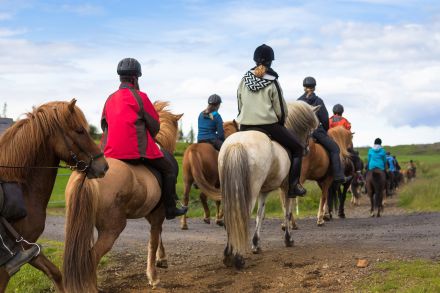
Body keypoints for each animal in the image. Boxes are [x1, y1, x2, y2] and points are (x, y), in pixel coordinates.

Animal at [0, 99, 108, 290]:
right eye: (79, 130)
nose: (104, 166)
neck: (20, 186)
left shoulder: (28, 247)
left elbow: (55, 273)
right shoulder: (7, 265)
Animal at [63, 100, 182, 290]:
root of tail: (88, 174)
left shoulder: (152, 212)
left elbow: (158, 236)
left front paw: (161, 259)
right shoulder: (158, 213)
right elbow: (154, 240)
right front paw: (153, 275)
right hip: (112, 228)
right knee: (91, 257)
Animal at [219, 100, 316, 266]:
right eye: (309, 130)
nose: (307, 150)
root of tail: (237, 143)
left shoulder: (263, 192)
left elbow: (260, 214)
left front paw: (256, 244)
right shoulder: (286, 188)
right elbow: (287, 212)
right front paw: (288, 239)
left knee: (230, 217)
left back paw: (228, 254)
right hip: (249, 193)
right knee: (241, 216)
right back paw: (238, 257)